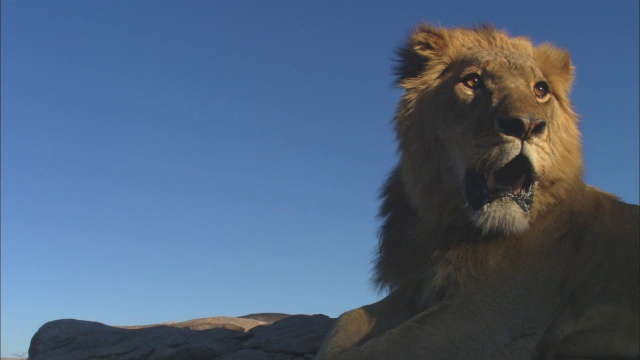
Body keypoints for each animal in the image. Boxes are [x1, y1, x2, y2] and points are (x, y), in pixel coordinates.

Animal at [316, 23, 640, 358]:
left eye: (540, 89)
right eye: (472, 81)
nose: (527, 125)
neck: (451, 227)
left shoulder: (487, 315)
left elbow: (380, 346)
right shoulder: (418, 289)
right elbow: (348, 319)